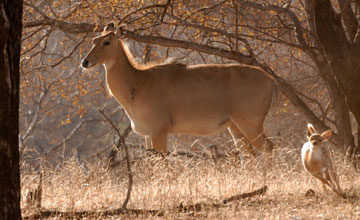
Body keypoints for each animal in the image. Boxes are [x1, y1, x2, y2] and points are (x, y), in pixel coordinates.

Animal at [81, 22, 278, 156]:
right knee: (250, 153)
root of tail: (270, 80)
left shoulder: (159, 131)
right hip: (235, 126)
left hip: (250, 123)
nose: (85, 62)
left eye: (107, 42)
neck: (139, 82)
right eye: (94, 40)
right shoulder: (148, 135)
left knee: (270, 148)